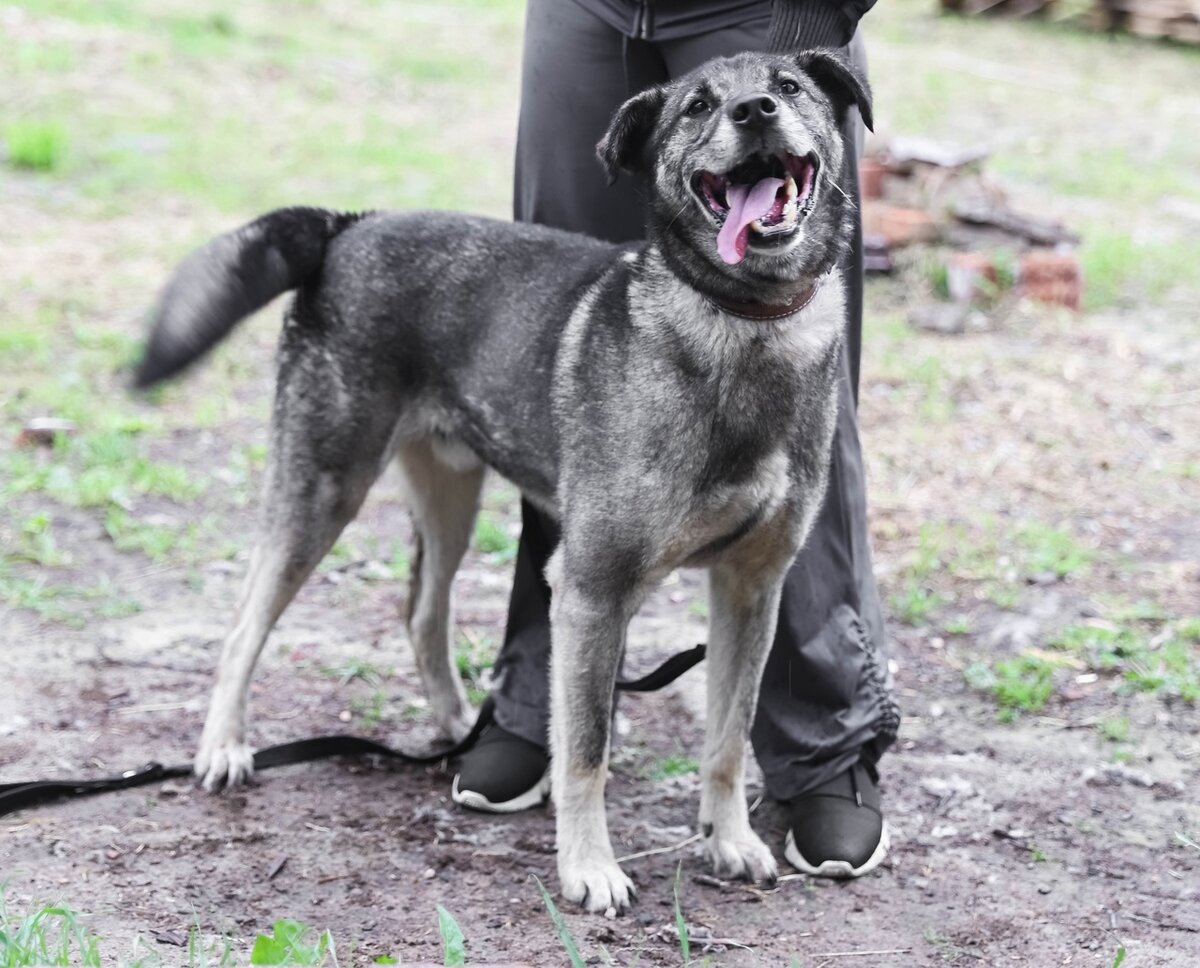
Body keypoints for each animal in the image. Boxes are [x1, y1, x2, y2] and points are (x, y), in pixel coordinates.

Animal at [136, 50, 873, 916]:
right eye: (696, 106)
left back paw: (457, 723)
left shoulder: (751, 587)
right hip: (322, 486)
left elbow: (728, 737)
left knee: (422, 611)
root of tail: (348, 225)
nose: (755, 111)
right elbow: (583, 751)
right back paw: (224, 746)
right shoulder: (591, 592)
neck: (744, 321)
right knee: (245, 623)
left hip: (449, 494)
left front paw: (729, 840)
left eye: (789, 88)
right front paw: (589, 868)